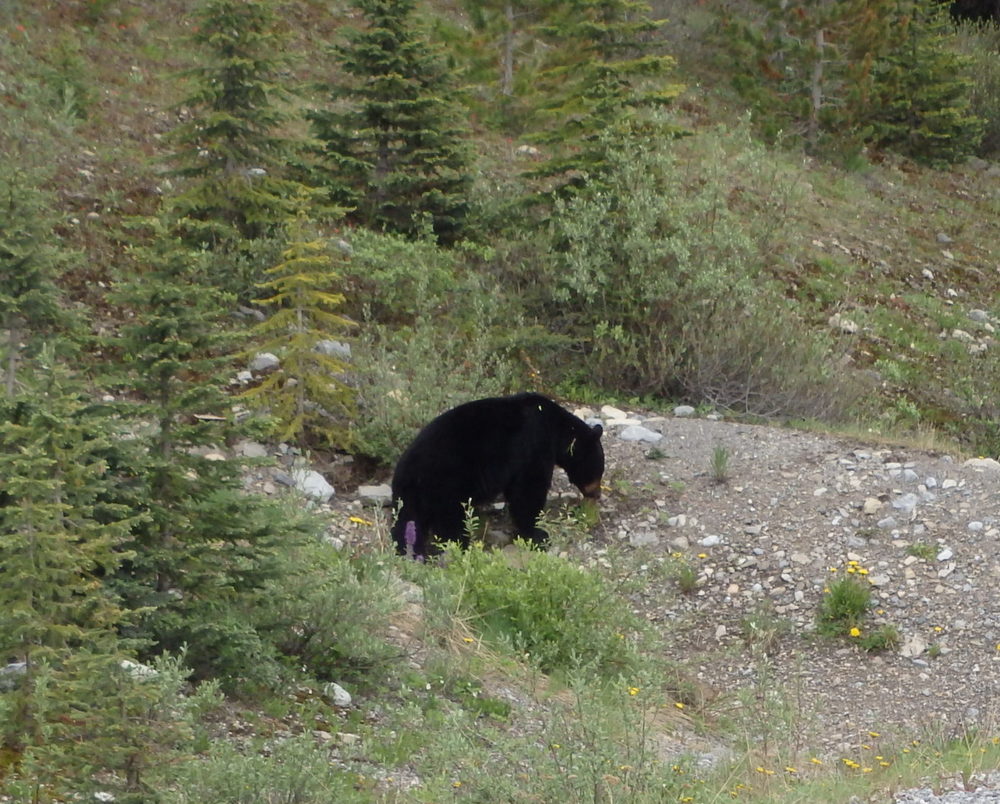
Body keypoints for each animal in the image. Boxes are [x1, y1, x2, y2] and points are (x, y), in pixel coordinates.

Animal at [392, 392, 604, 556]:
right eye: (598, 471)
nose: (597, 494)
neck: (556, 428)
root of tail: (408, 475)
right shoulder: (534, 444)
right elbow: (529, 490)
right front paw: (538, 533)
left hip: (410, 497)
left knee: (407, 522)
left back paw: (410, 552)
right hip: (446, 487)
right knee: (452, 524)